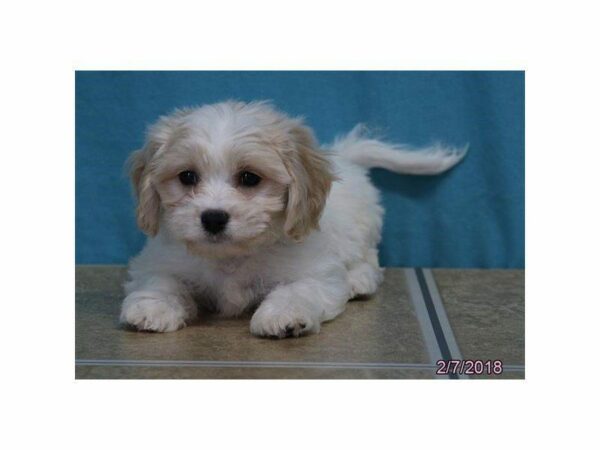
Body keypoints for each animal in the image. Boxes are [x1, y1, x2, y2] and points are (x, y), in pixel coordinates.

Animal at [120, 101, 468, 338]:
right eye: (187, 176)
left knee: (368, 260)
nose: (213, 218)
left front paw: (283, 316)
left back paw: (358, 279)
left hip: (361, 232)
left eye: (249, 178)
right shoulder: (160, 260)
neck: (232, 257)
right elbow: (161, 281)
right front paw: (152, 307)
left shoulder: (316, 272)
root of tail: (345, 157)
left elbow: (297, 290)